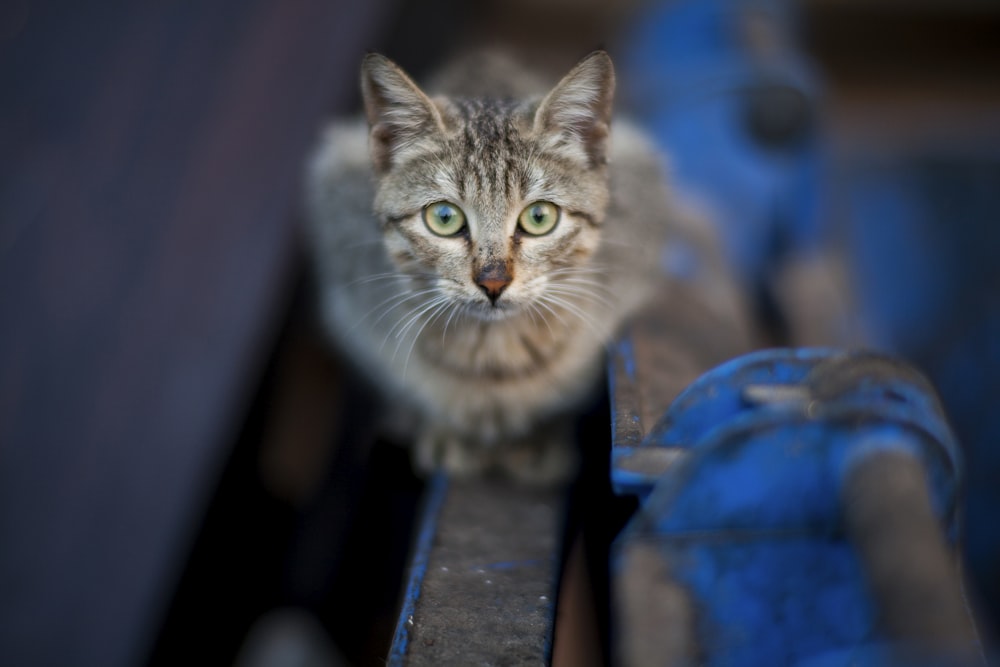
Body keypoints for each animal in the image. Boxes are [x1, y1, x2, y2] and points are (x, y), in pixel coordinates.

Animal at [302, 49, 680, 482]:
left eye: (539, 217)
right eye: (444, 217)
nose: (494, 282)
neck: (493, 355)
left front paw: (542, 434)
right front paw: (443, 427)